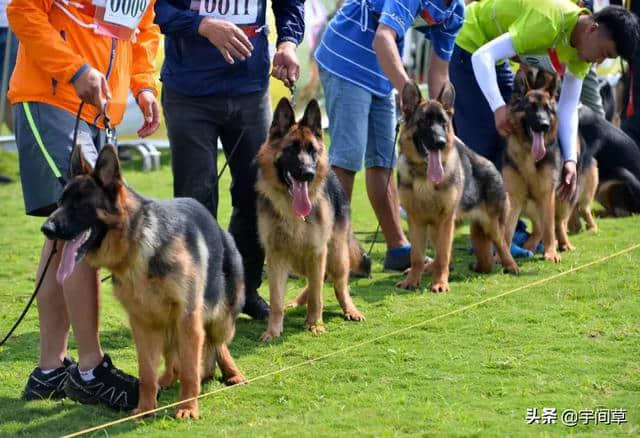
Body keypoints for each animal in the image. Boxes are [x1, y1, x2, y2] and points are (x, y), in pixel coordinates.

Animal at [40, 145, 245, 418]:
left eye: (81, 204)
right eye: (61, 202)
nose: (46, 229)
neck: (138, 246)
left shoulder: (189, 319)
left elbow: (190, 372)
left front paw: (187, 408)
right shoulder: (143, 324)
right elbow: (146, 373)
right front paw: (146, 409)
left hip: (219, 317)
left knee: (217, 344)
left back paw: (233, 374)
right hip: (166, 324)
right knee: (174, 357)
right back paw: (167, 379)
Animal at [255, 97, 370, 340]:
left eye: (312, 151)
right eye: (291, 150)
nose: (308, 173)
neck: (291, 211)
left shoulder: (318, 251)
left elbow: (318, 295)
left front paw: (315, 324)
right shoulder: (276, 257)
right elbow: (276, 300)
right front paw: (273, 330)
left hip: (336, 254)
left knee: (339, 284)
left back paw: (350, 310)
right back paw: (297, 302)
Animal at [398, 83, 516, 294]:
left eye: (443, 122)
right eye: (424, 122)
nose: (441, 142)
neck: (424, 177)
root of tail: (491, 165)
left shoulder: (445, 220)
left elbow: (443, 255)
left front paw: (440, 283)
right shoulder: (416, 221)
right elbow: (417, 256)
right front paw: (412, 280)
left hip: (491, 226)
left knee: (502, 246)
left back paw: (512, 266)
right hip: (438, 228)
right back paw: (429, 268)